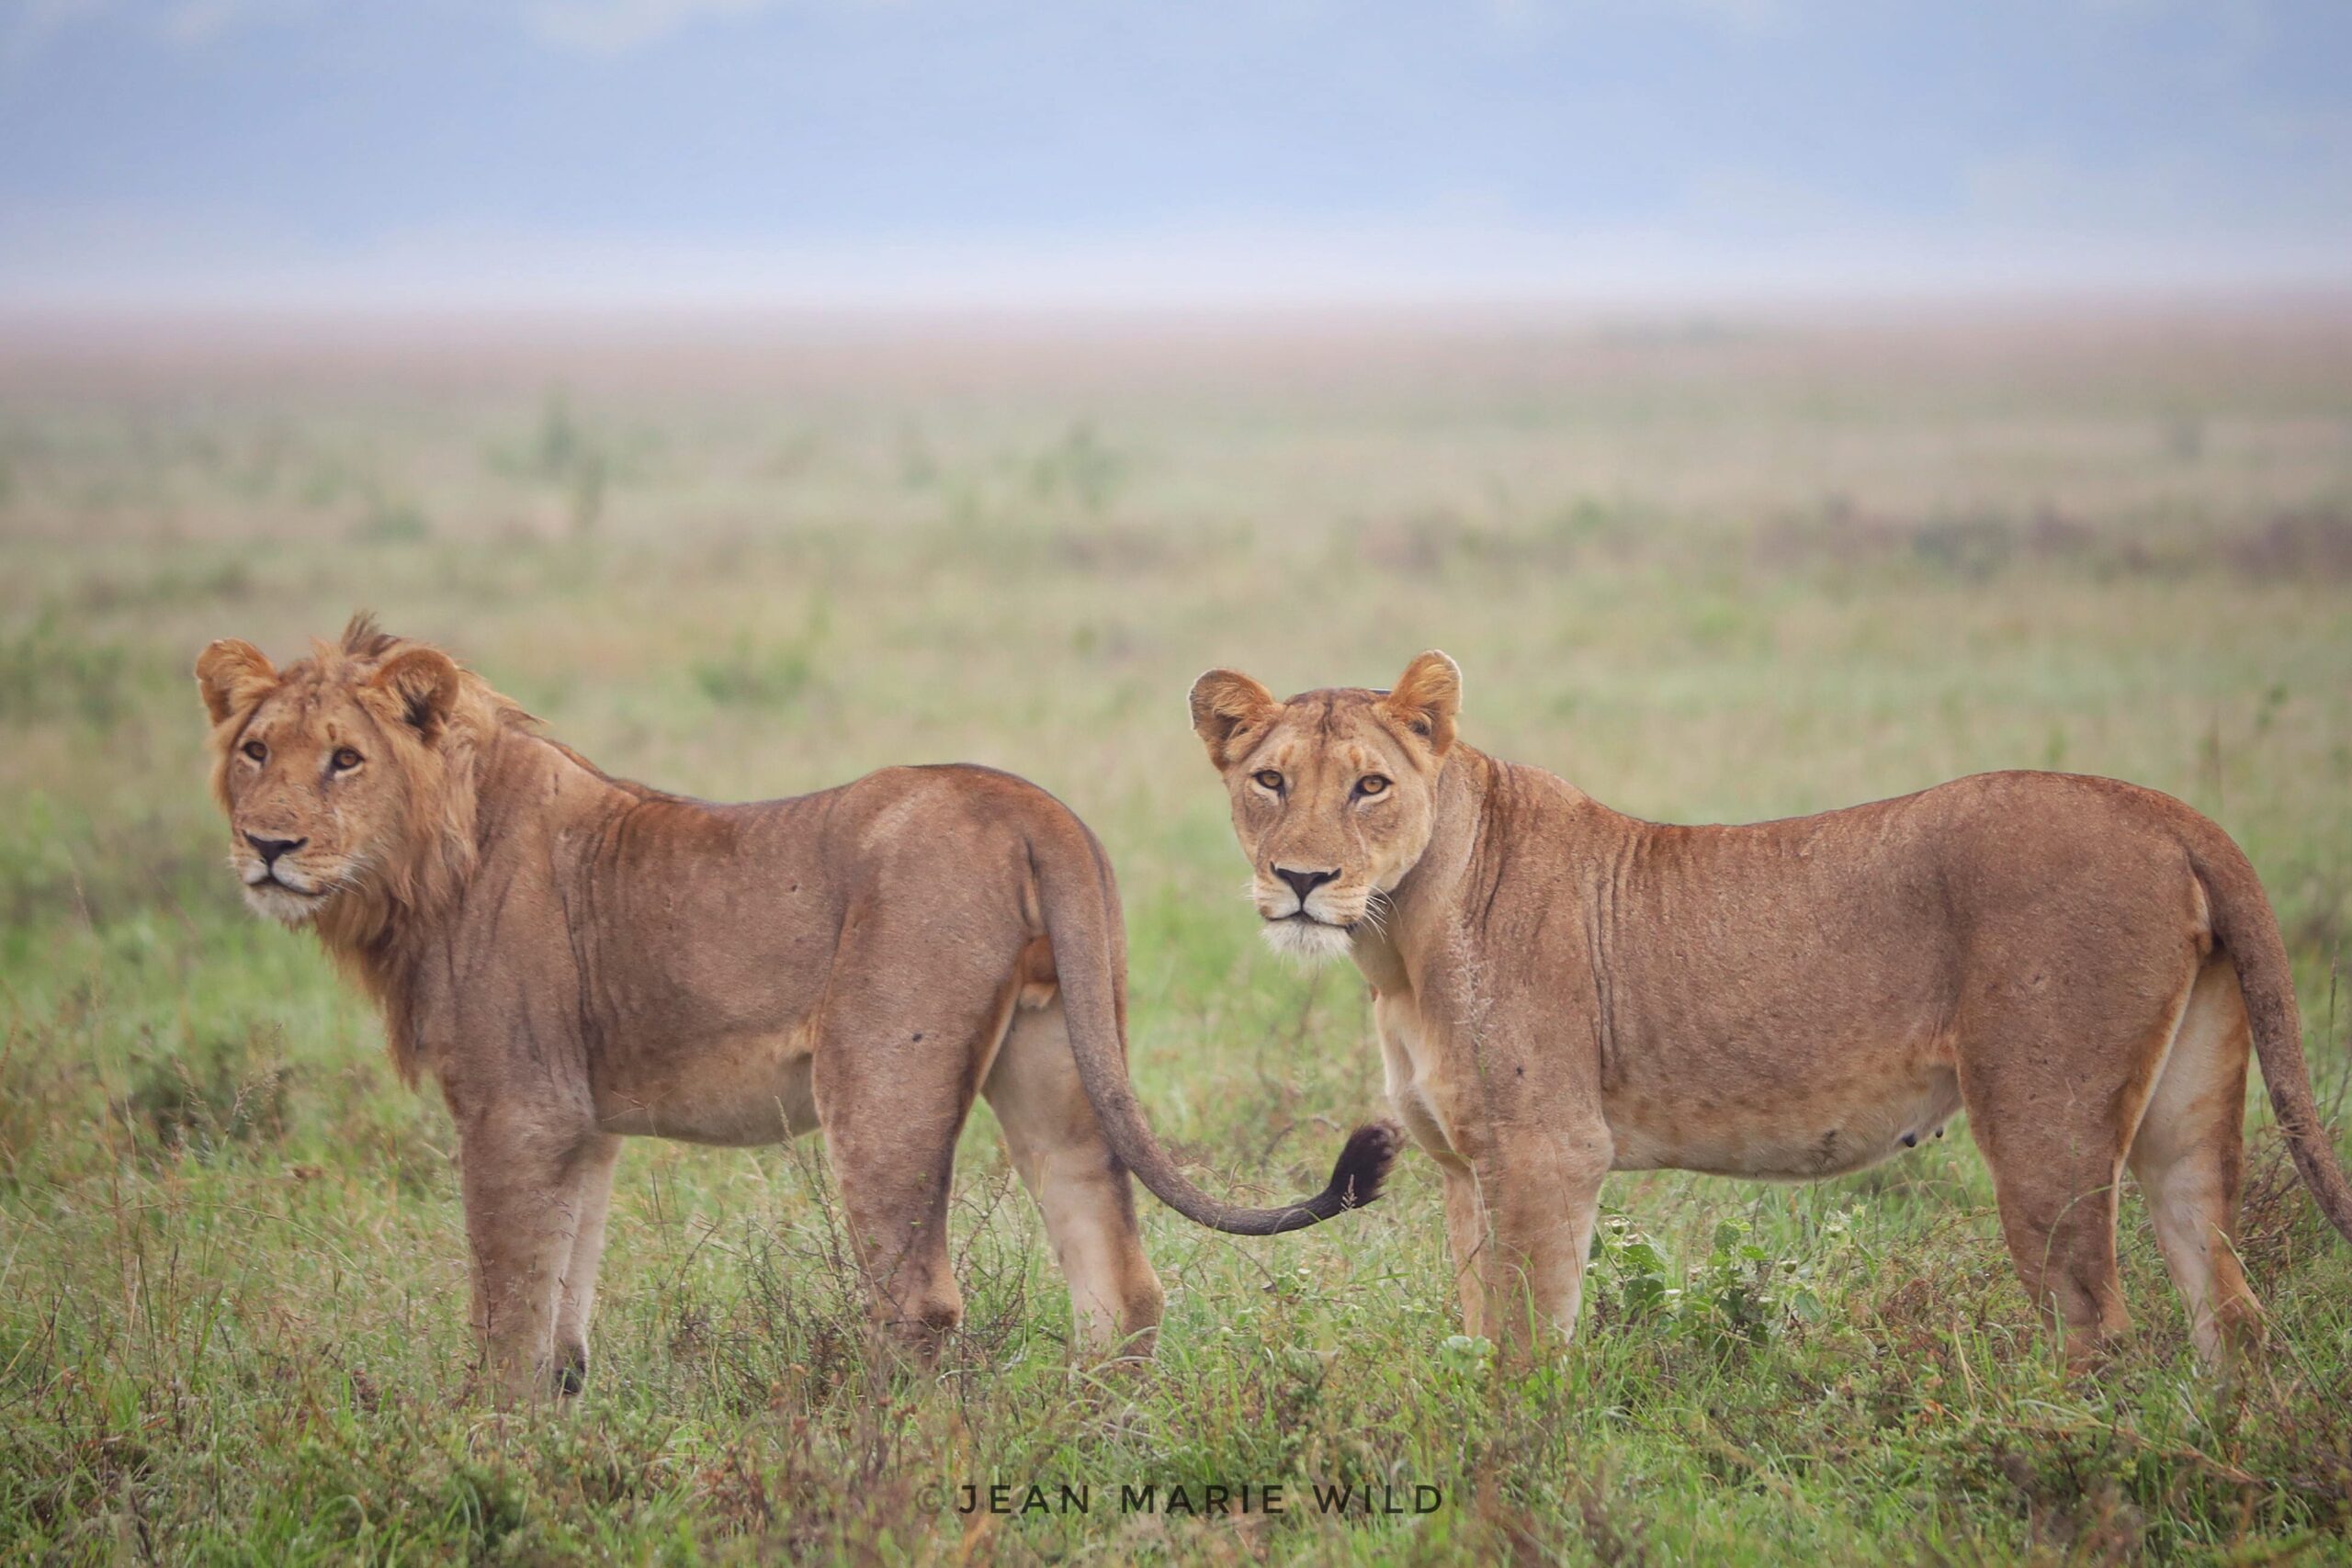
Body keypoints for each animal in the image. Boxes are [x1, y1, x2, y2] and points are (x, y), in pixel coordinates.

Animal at [198, 620, 1392, 1401]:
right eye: (254, 751)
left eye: (345, 760)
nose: (267, 846)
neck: (422, 866)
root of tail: (1027, 803)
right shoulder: (581, 1128)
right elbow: (563, 1318)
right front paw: (558, 1423)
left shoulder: (515, 1110)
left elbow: (505, 1314)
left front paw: (487, 1446)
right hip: (1057, 1062)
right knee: (1119, 1287)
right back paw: (1096, 1447)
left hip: (878, 1079)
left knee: (920, 1302)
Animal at [1194, 658, 2352, 1363]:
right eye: (1269, 779)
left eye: (1370, 787)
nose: (1301, 880)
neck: (1395, 943)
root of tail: (2164, 809)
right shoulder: (1460, 1166)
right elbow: (1479, 1337)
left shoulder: (1548, 1151)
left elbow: (1526, 1357)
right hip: (2182, 1110)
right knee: (2230, 1314)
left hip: (2044, 1128)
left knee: (2097, 1330)